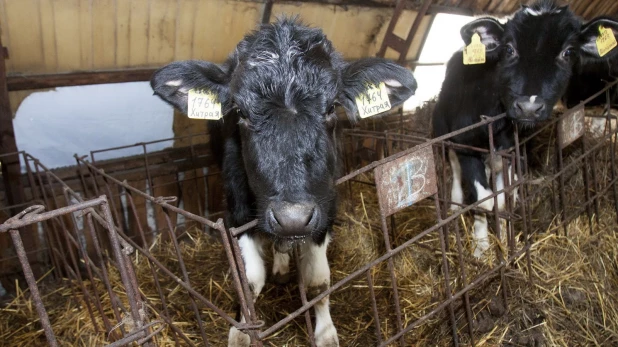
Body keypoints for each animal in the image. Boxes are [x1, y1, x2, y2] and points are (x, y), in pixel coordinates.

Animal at [152, 18, 416, 346]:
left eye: (331, 108)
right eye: (239, 112)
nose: (292, 218)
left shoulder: (325, 209)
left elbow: (318, 282)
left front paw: (326, 332)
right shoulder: (237, 212)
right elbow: (251, 282)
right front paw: (240, 332)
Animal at [430, 0, 616, 258]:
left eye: (568, 52)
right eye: (509, 49)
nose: (529, 107)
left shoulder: (513, 151)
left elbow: (503, 200)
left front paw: (504, 240)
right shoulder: (465, 144)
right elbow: (484, 200)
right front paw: (481, 248)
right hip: (445, 135)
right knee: (456, 169)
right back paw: (454, 205)